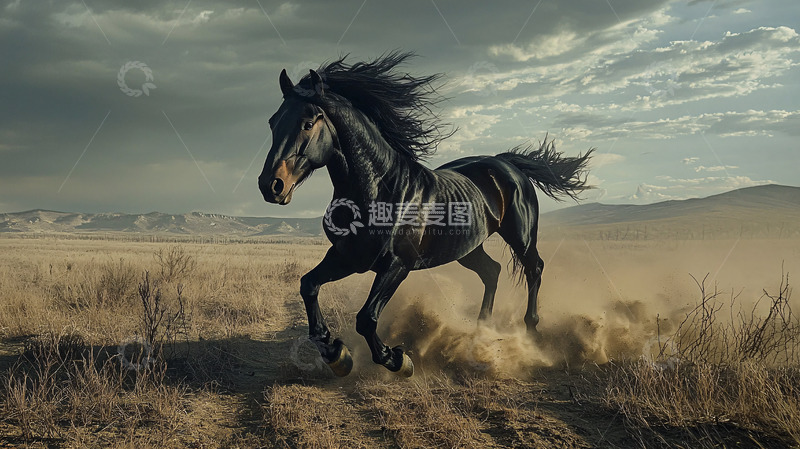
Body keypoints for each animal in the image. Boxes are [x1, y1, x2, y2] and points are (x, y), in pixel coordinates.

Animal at [258, 52, 593, 377]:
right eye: (272, 122)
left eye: (307, 123)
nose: (270, 185)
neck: (380, 189)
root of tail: (506, 164)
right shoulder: (347, 257)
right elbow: (309, 285)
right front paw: (335, 353)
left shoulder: (397, 265)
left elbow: (366, 318)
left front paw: (397, 360)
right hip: (467, 248)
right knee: (492, 271)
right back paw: (481, 331)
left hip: (520, 236)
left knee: (534, 268)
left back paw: (531, 331)